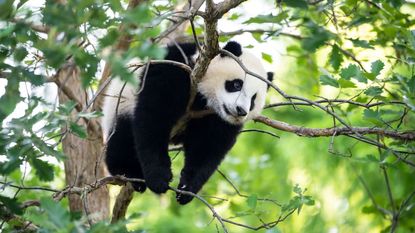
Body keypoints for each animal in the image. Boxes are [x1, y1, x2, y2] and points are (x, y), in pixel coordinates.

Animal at [102, 41, 274, 204]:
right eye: (237, 84)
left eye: (253, 99)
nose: (241, 111)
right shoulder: (175, 70)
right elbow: (154, 116)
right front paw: (159, 178)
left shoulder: (217, 119)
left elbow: (208, 145)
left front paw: (186, 188)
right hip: (120, 105)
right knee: (122, 138)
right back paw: (129, 172)